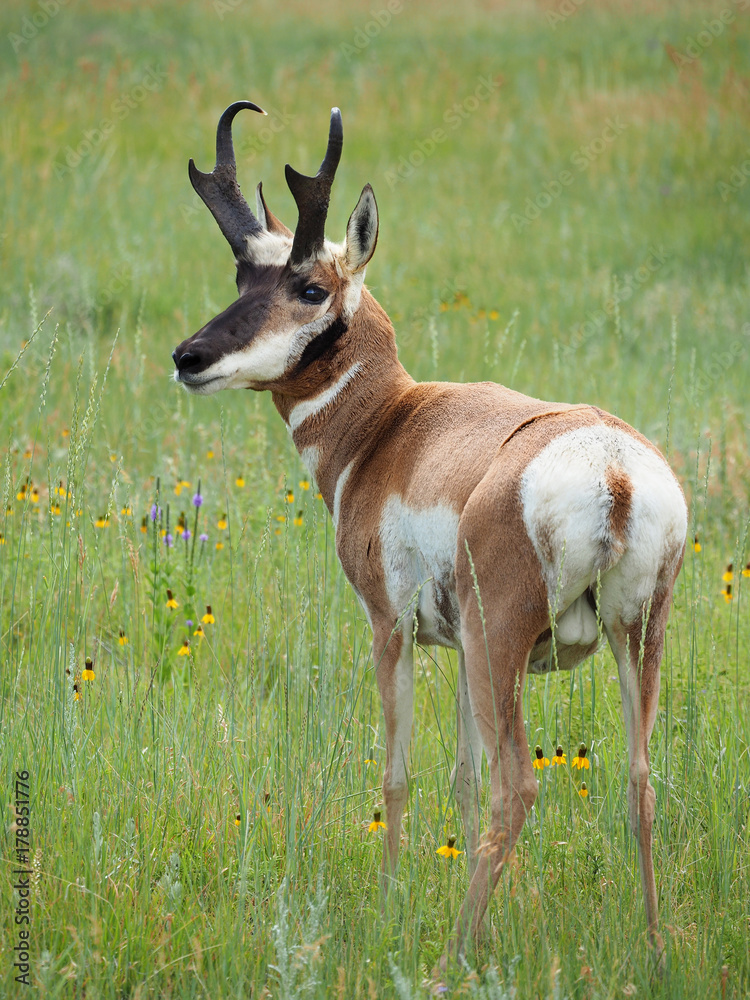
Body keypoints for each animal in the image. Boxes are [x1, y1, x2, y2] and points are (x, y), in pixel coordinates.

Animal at [172, 102, 687, 968]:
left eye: (309, 286)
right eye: (243, 277)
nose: (189, 356)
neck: (390, 425)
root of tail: (611, 467)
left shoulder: (393, 630)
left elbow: (398, 775)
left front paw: (388, 907)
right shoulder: (456, 651)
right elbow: (461, 780)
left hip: (500, 642)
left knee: (521, 788)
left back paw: (450, 958)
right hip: (627, 640)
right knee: (639, 781)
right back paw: (650, 950)